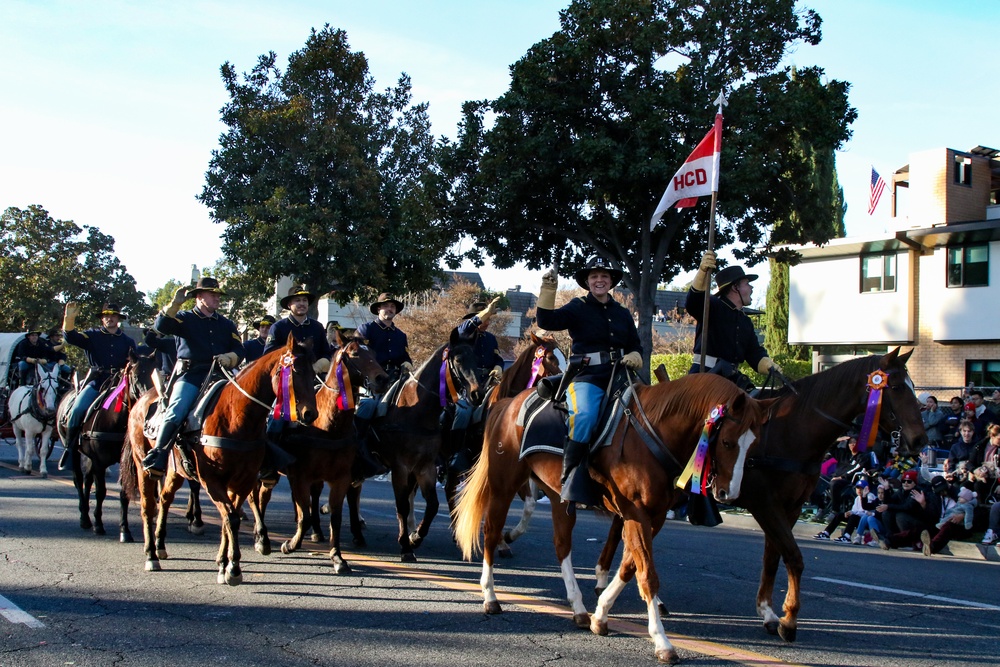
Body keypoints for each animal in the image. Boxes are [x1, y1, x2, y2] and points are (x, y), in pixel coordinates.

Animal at [56, 352, 157, 540]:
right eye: (136, 375)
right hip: (74, 451)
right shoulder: (99, 462)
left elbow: (124, 493)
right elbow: (101, 491)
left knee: (87, 480)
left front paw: (124, 530)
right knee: (78, 479)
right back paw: (84, 518)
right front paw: (98, 524)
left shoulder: (125, 462)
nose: (150, 399)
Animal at [121, 340, 318, 584]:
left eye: (313, 373)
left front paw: (224, 564)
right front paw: (233, 568)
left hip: (175, 471)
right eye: (296, 371)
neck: (236, 417)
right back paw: (151, 555)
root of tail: (140, 402)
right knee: (148, 506)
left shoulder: (242, 480)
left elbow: (229, 517)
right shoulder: (212, 480)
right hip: (143, 467)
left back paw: (160, 545)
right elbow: (231, 517)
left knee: (165, 499)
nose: (310, 414)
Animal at [248, 332, 388, 572]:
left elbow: (335, 517)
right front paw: (290, 544)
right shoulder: (300, 477)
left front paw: (337, 557)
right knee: (254, 498)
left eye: (374, 353)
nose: (382, 379)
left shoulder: (340, 479)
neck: (329, 426)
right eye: (354, 353)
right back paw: (261, 536)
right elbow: (304, 516)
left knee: (264, 496)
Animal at [454, 374, 764, 664]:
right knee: (492, 532)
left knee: (562, 545)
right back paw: (490, 597)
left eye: (753, 446)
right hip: (503, 485)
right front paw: (662, 641)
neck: (652, 432)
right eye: (727, 442)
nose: (727, 493)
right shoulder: (636, 513)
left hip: (558, 495)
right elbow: (647, 574)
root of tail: (507, 403)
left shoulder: (653, 516)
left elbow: (630, 566)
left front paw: (601, 614)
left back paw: (579, 609)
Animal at [588, 348, 924, 644]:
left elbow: (773, 557)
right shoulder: (765, 504)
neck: (794, 431)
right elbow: (793, 556)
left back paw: (609, 580)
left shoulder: (790, 507)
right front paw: (788, 620)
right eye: (895, 387)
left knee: (622, 530)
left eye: (911, 386)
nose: (919, 440)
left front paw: (768, 612)